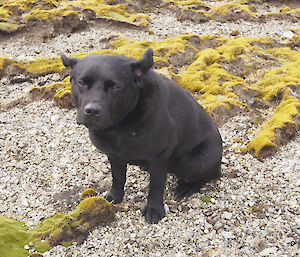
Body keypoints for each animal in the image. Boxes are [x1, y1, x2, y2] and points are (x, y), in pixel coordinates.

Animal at [61, 48, 223, 222]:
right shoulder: (115, 156)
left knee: (209, 175)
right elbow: (118, 178)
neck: (121, 125)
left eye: (116, 86)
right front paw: (115, 196)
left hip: (193, 162)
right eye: (82, 82)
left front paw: (154, 209)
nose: (92, 110)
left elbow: (156, 186)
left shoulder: (159, 158)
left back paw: (187, 187)